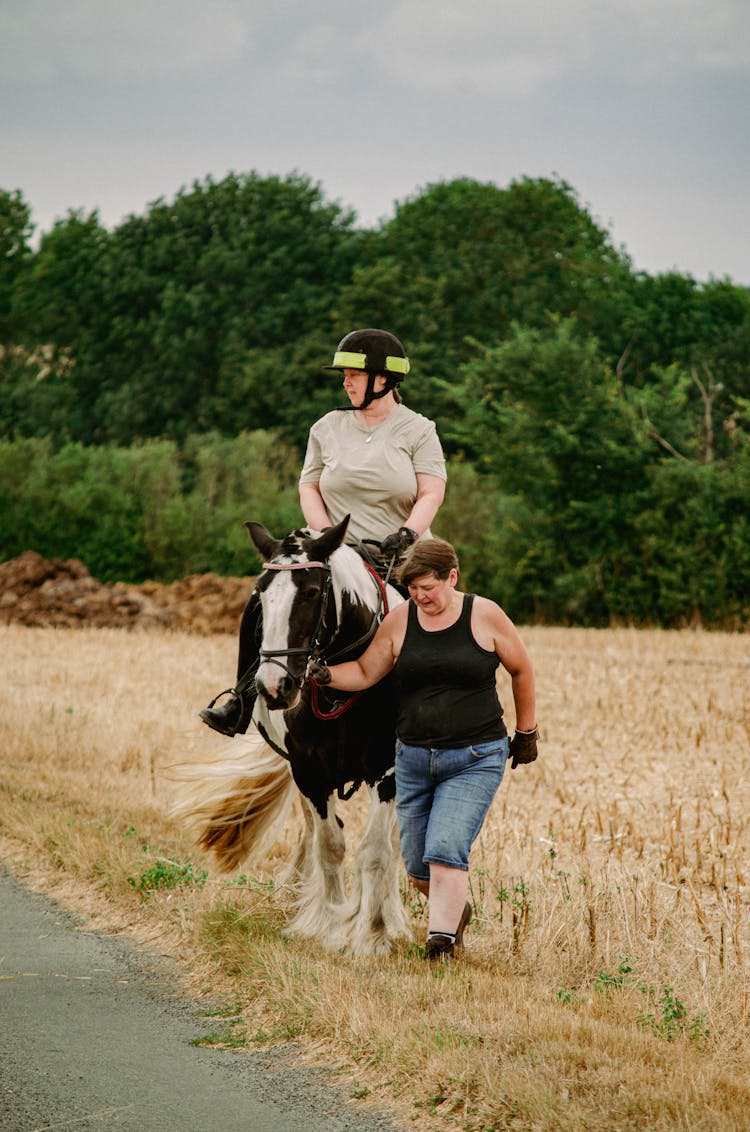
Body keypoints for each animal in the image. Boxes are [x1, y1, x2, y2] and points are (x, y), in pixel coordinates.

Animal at [174, 518, 414, 955]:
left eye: (313, 592)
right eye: (261, 594)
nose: (274, 686)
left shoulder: (386, 770)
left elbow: (376, 851)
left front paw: (373, 934)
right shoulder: (309, 771)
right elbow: (330, 847)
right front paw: (330, 925)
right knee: (313, 831)